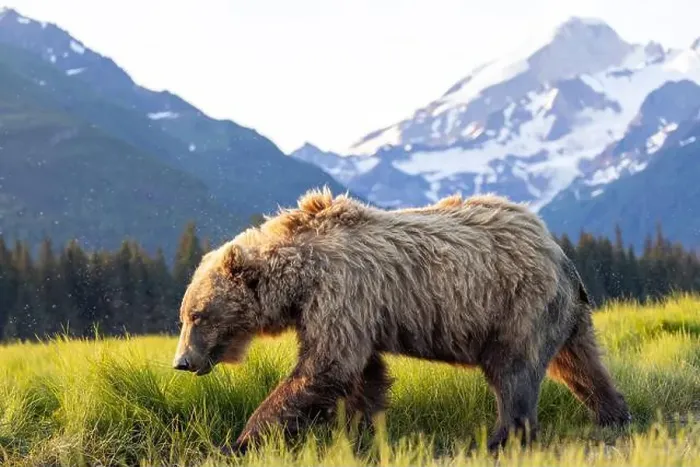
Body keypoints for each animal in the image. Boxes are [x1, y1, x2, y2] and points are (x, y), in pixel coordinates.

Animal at [172, 188, 631, 454]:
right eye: (184, 316)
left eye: (197, 315)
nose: (182, 362)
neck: (301, 278)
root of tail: (558, 252)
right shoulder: (355, 313)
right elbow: (364, 374)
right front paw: (359, 430)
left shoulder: (342, 293)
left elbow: (325, 367)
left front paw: (243, 439)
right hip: (564, 315)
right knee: (581, 364)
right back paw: (614, 413)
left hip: (515, 305)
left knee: (513, 371)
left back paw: (503, 436)